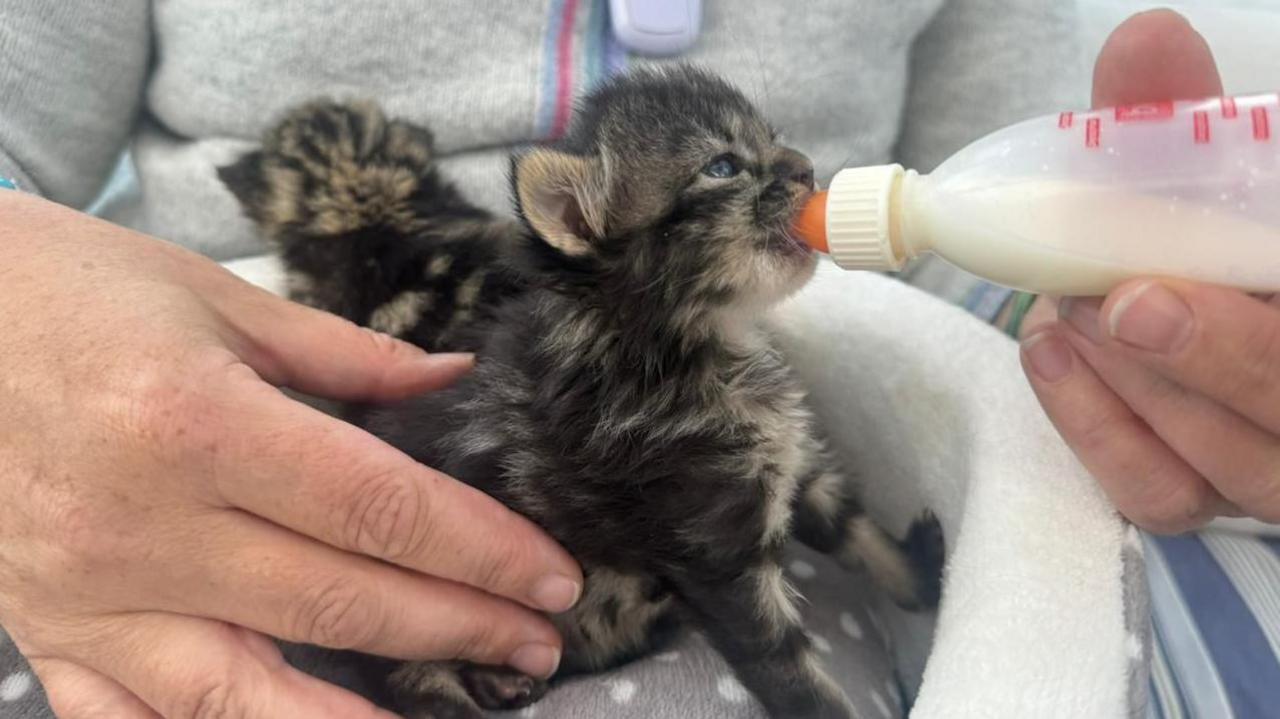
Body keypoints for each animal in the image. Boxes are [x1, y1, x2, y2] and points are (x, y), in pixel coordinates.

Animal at [217, 67, 942, 716]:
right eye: (722, 167)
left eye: (774, 142)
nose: (807, 168)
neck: (684, 343)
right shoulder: (717, 549)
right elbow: (787, 665)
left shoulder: (791, 472)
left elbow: (855, 528)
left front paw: (924, 579)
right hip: (396, 622)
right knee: (414, 684)